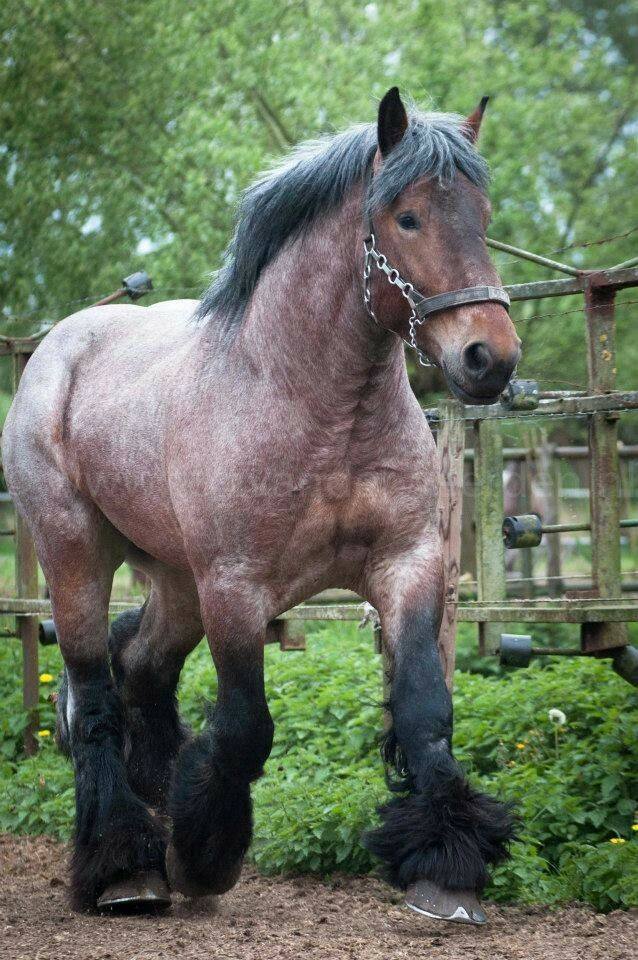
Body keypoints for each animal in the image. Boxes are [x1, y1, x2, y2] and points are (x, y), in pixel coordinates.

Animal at [3, 90, 520, 924]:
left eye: (483, 212)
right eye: (406, 217)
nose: (490, 358)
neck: (314, 405)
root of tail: (59, 345)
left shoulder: (407, 564)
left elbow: (425, 710)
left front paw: (446, 866)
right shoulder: (236, 587)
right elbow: (247, 727)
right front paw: (203, 855)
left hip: (175, 581)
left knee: (141, 667)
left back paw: (157, 806)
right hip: (77, 556)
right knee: (95, 697)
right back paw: (126, 867)